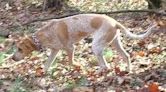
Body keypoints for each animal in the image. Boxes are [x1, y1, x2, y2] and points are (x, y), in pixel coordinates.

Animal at [12, 13, 157, 72]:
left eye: (20, 49)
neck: (46, 33)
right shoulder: (55, 50)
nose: (12, 58)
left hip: (96, 46)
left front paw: (78, 66)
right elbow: (47, 65)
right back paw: (128, 70)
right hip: (115, 43)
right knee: (126, 56)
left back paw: (99, 71)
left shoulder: (70, 48)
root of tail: (114, 22)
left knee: (105, 65)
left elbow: (71, 62)